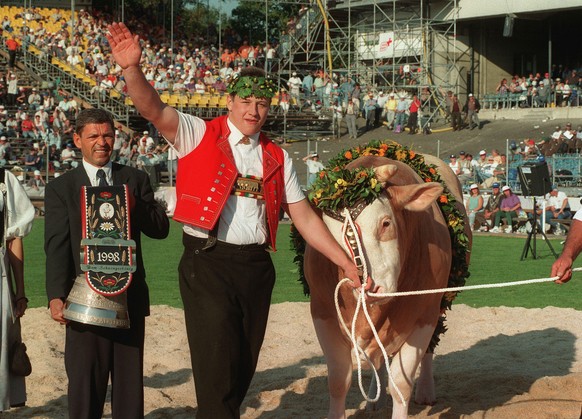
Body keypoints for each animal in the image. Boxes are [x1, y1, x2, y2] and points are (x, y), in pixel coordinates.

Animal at [306, 154, 474, 419]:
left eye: (385, 223)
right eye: (329, 238)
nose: (370, 287)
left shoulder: (423, 315)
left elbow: (401, 384)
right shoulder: (322, 311)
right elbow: (338, 380)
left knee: (429, 347)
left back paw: (426, 390)